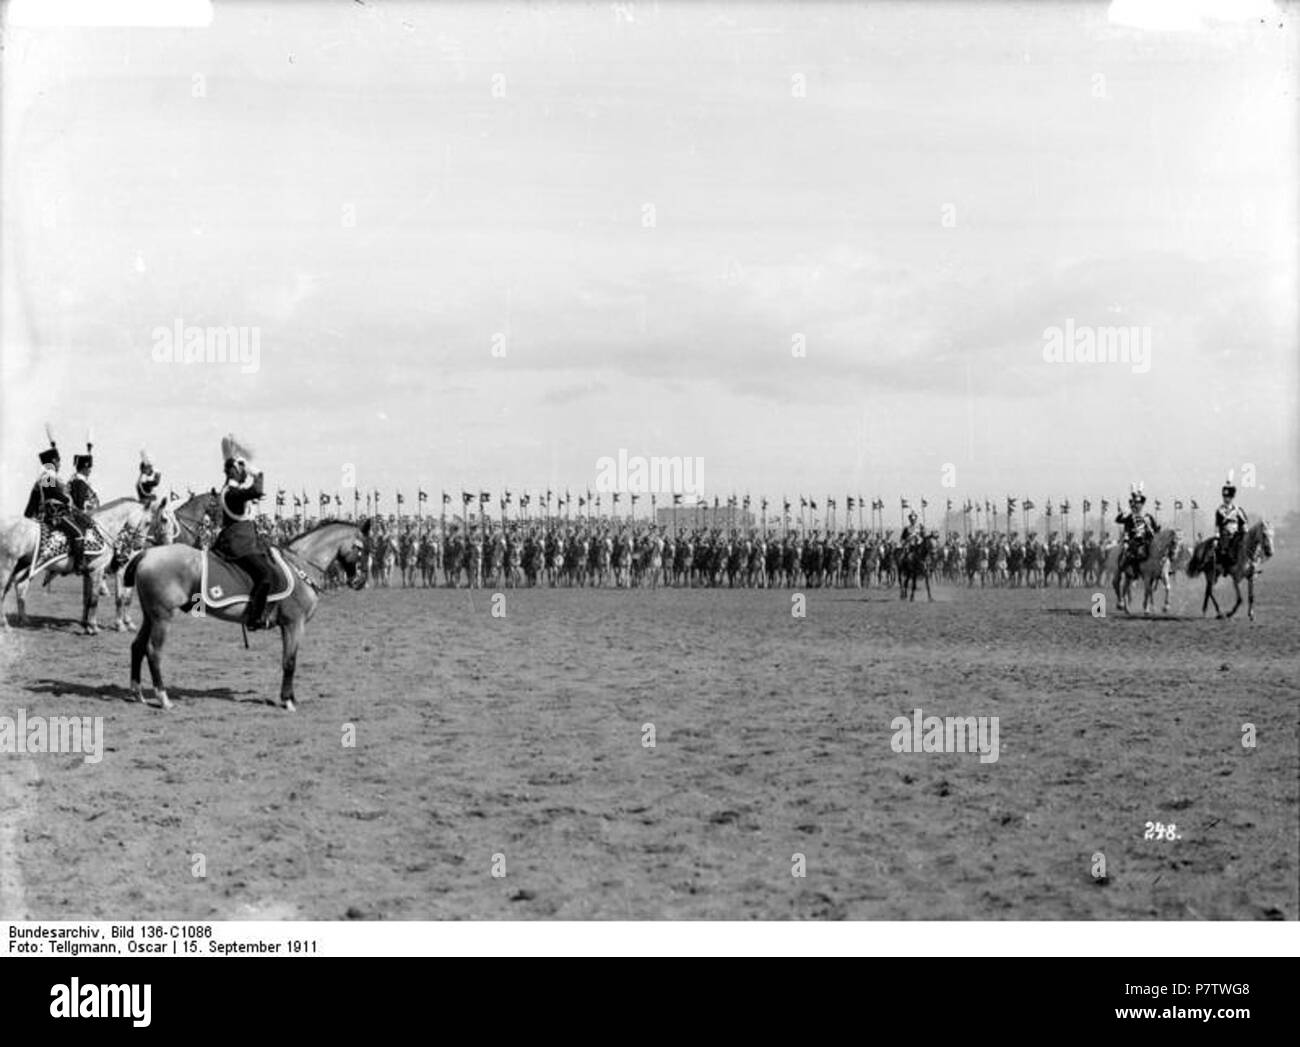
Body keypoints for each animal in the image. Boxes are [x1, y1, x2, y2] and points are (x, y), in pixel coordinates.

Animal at [126, 517, 369, 712]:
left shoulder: (286, 626)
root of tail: (147, 553)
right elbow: (290, 662)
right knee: (153, 652)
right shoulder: (294, 624)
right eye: (361, 549)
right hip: (162, 616)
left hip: (150, 615)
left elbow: (287, 660)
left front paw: (289, 698)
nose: (360, 581)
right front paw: (288, 701)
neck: (299, 566)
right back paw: (163, 698)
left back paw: (137, 693)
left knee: (138, 646)